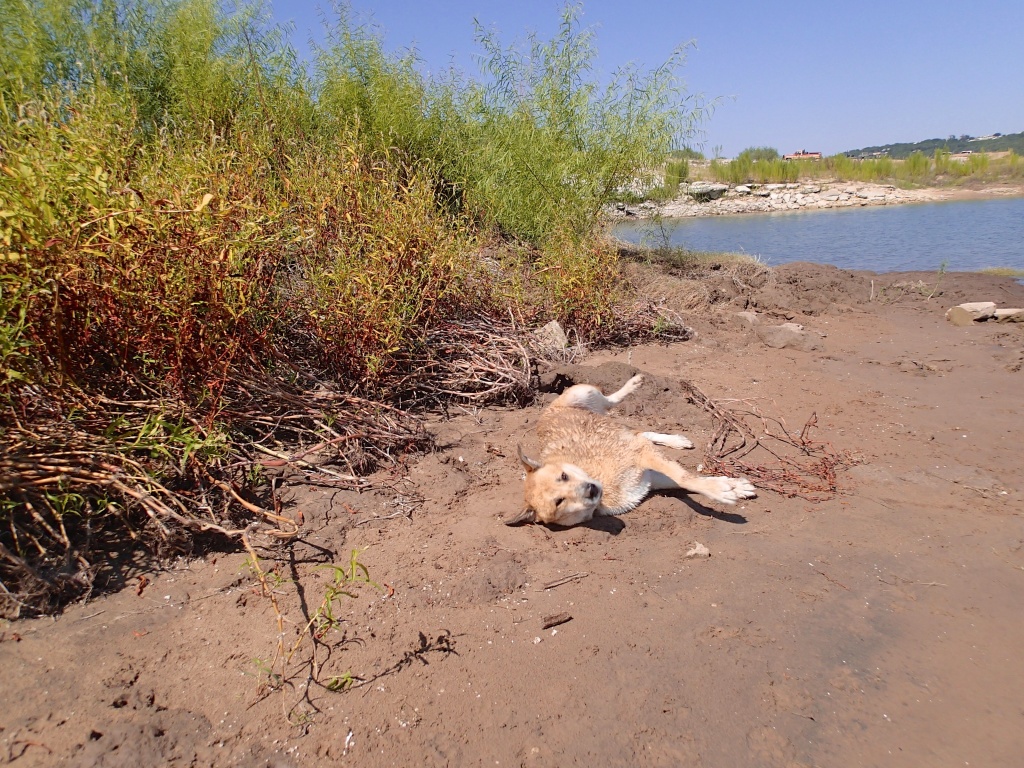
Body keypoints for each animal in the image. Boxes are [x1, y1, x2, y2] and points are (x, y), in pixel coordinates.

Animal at [507, 374, 757, 528]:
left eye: (564, 475)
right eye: (559, 501)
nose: (590, 489)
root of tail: (547, 411)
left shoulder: (641, 454)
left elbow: (685, 477)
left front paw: (722, 489)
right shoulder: (649, 477)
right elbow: (686, 480)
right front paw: (730, 486)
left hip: (582, 392)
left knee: (612, 402)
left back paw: (633, 385)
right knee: (639, 431)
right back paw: (675, 440)